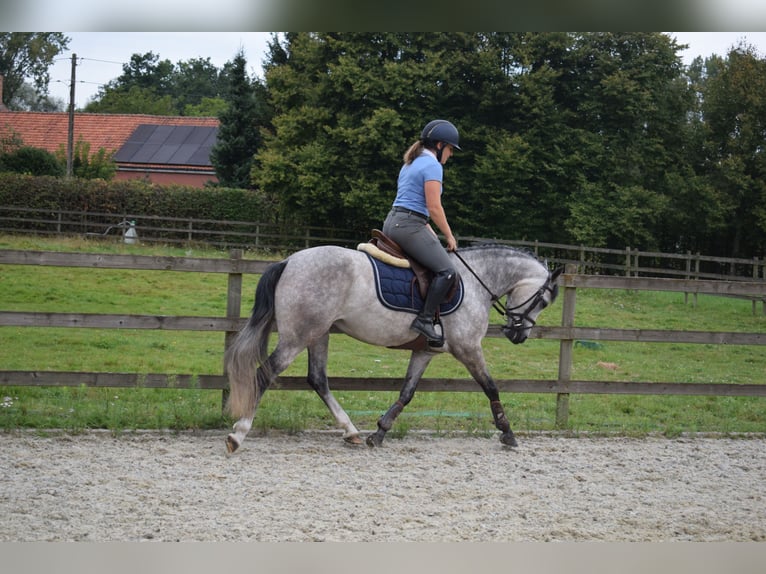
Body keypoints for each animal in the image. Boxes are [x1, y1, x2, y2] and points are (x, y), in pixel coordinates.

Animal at [225, 245, 560, 452]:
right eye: (543, 301)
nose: (518, 335)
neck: (476, 280)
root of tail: (290, 261)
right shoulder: (468, 349)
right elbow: (491, 387)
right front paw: (508, 433)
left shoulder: (425, 351)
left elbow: (407, 392)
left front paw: (380, 432)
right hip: (298, 336)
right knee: (264, 374)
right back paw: (238, 434)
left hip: (317, 334)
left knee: (318, 379)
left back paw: (351, 431)